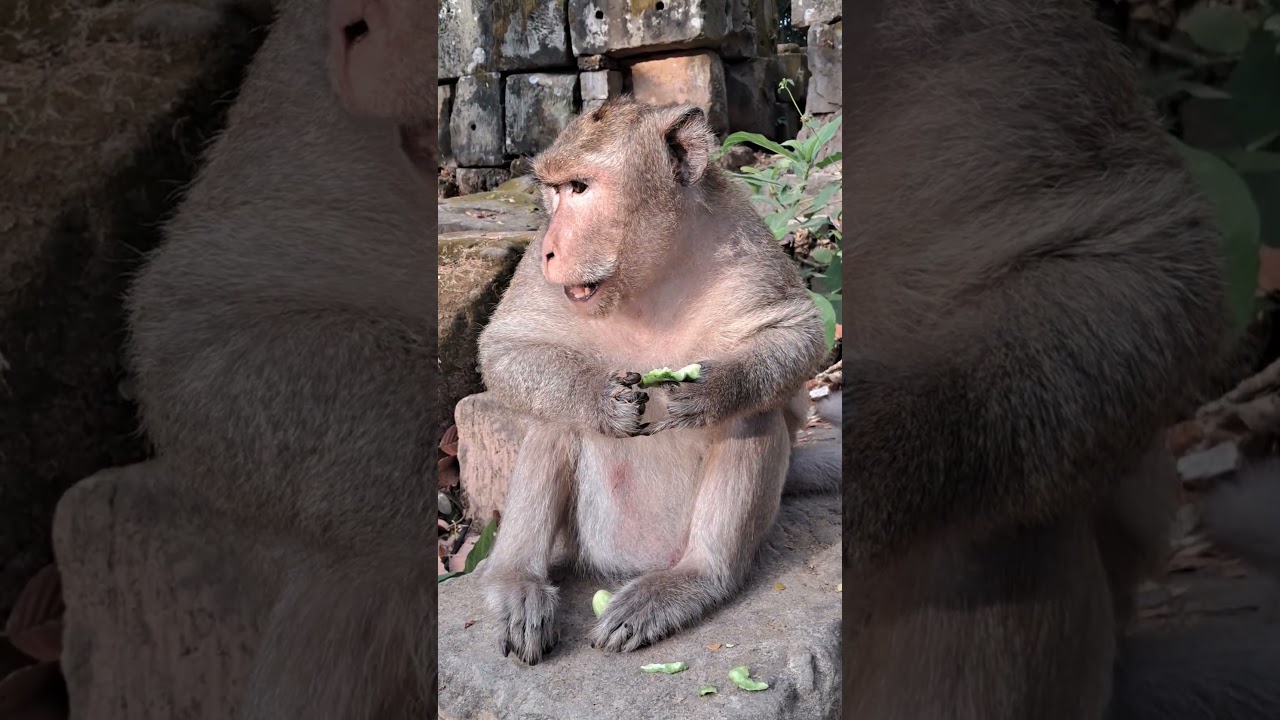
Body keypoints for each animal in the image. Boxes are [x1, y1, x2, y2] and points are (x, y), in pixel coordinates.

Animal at [473, 95, 839, 666]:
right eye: (552, 191)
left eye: (580, 188)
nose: (552, 249)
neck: (649, 276)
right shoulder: (534, 268)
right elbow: (505, 348)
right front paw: (599, 400)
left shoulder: (745, 242)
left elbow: (798, 337)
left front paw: (714, 389)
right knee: (553, 421)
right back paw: (517, 579)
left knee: (754, 417)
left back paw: (694, 579)